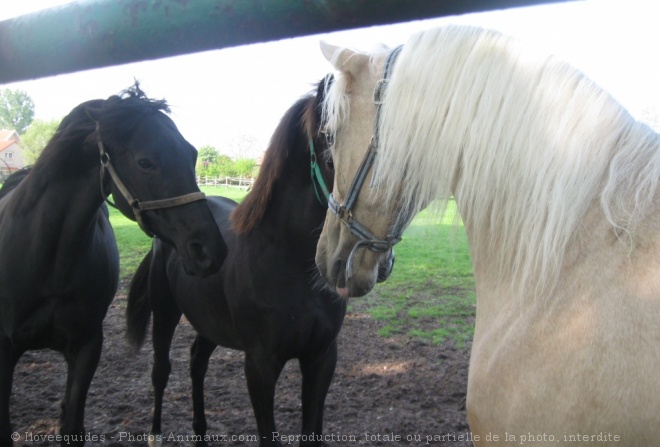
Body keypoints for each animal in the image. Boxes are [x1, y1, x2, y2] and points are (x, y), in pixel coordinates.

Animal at [0, 85, 227, 447]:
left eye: (192, 155)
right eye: (145, 162)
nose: (210, 250)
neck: (46, 261)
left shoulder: (87, 347)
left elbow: (73, 426)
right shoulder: (4, 352)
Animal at [128, 79, 394, 446]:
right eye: (331, 158)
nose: (372, 260)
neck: (290, 263)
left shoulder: (322, 357)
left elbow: (311, 431)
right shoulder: (260, 366)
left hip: (209, 322)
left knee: (197, 361)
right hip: (166, 312)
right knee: (161, 370)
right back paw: (156, 434)